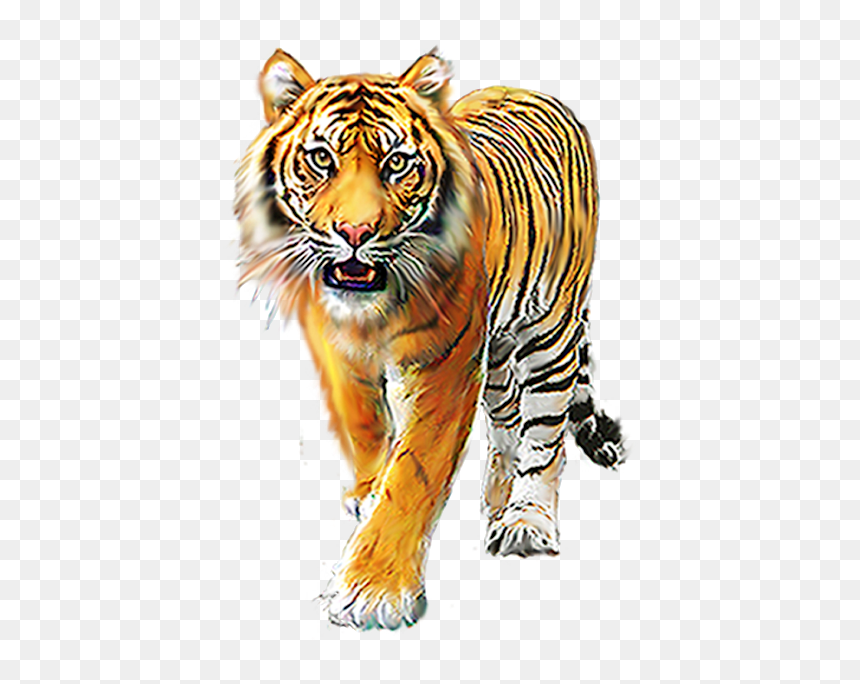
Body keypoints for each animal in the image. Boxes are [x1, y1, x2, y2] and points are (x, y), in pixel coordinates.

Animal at [234, 48, 624, 630]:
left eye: (396, 163)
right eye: (322, 158)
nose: (355, 233)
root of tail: (533, 91)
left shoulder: (446, 366)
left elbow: (415, 471)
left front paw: (374, 590)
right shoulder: (337, 350)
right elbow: (365, 427)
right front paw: (368, 493)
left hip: (548, 331)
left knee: (544, 433)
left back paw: (526, 520)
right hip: (499, 350)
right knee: (506, 420)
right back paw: (496, 497)